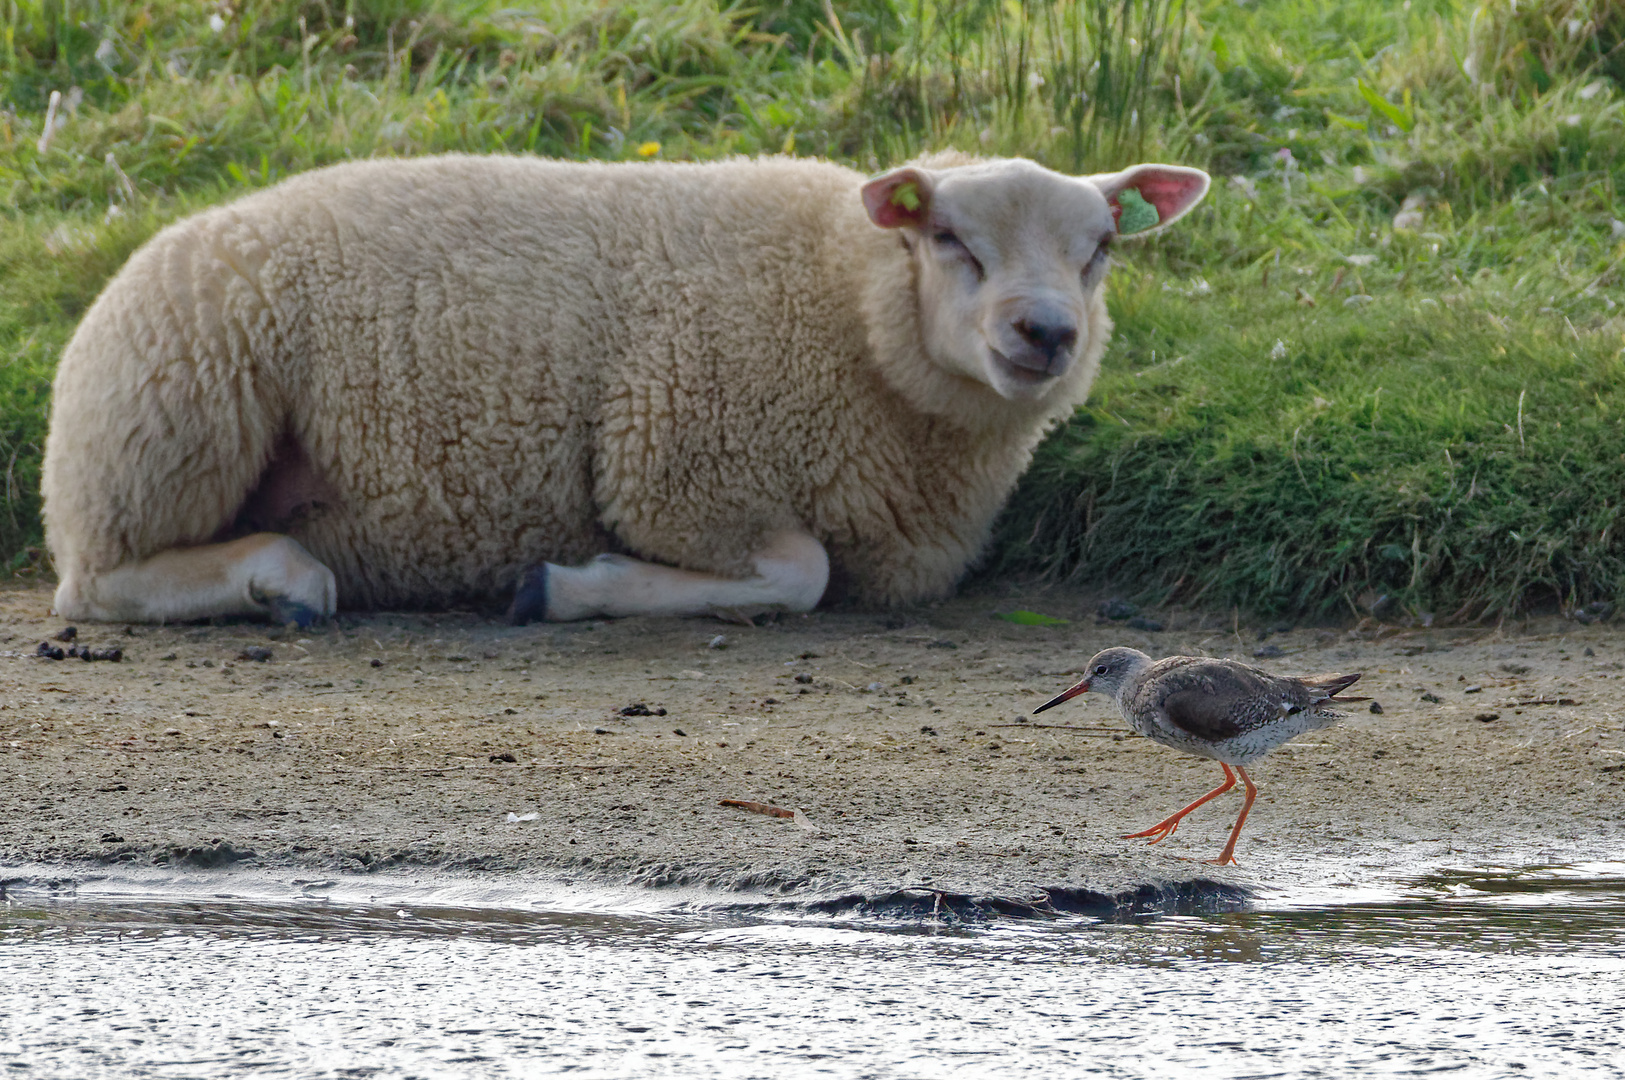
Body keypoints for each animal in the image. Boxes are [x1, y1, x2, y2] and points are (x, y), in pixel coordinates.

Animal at [41, 150, 1209, 623]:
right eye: (951, 239)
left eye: (1102, 247)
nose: (1044, 333)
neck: (846, 299)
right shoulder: (681, 471)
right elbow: (799, 575)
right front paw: (564, 586)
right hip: (171, 420)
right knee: (99, 581)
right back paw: (284, 582)